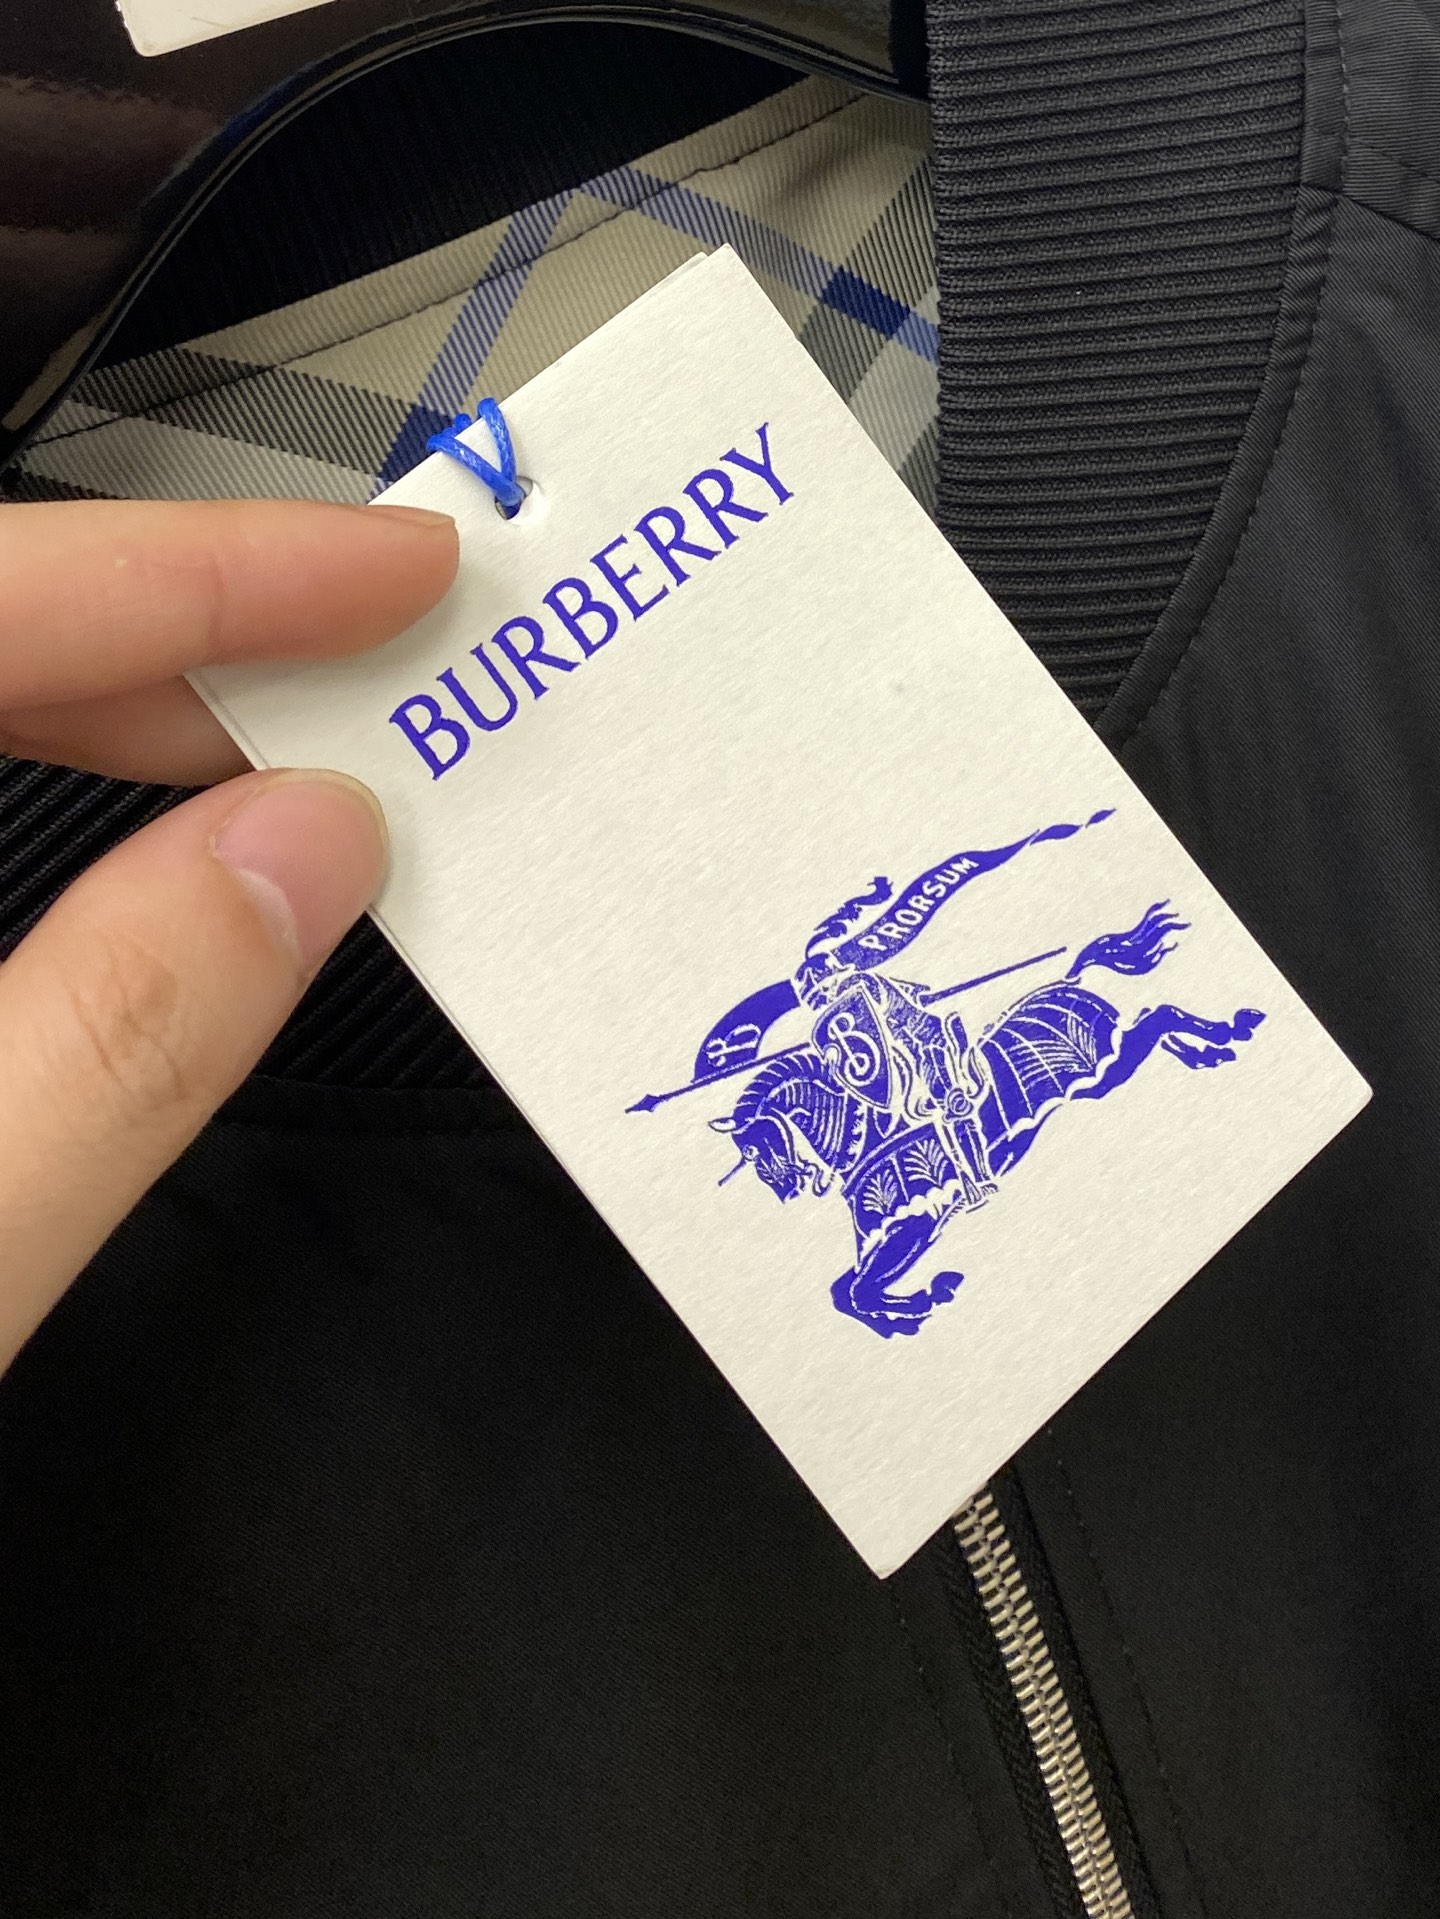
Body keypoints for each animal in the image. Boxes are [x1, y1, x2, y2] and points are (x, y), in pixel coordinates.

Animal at [710, 904, 1265, 1338]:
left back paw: (1228, 1032)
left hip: (1106, 1064)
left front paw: (917, 1303)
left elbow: (854, 1291)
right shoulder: (903, 1231)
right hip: (1110, 1068)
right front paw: (912, 1308)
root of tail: (1067, 980)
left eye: (758, 1148)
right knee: (1154, 1020)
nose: (786, 1189)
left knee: (1162, 1014)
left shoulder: (915, 1222)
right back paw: (1206, 1053)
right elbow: (844, 1289)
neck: (867, 1136)